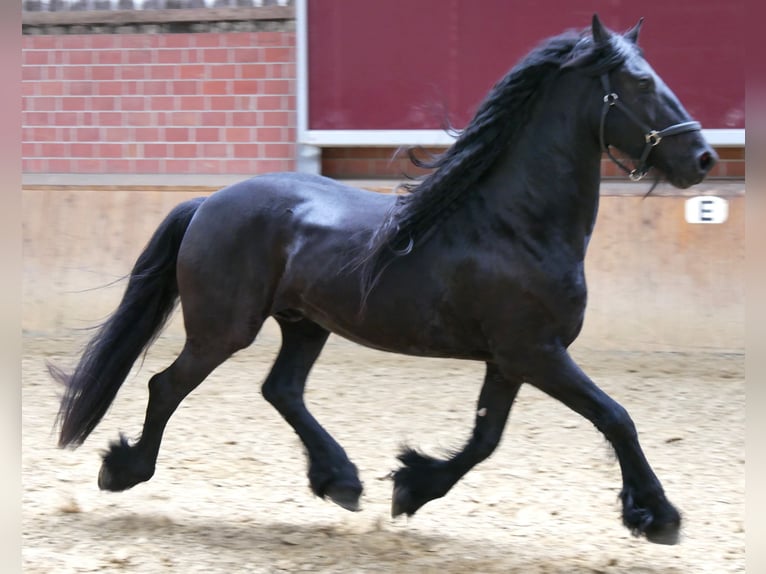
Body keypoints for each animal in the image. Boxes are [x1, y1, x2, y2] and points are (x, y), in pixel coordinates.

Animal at [49, 15, 716, 545]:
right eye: (640, 84)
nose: (703, 159)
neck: (514, 224)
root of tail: (208, 202)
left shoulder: (510, 359)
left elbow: (486, 437)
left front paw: (412, 486)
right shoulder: (536, 353)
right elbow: (615, 417)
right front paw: (658, 517)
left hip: (304, 324)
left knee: (281, 389)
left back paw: (340, 481)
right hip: (223, 330)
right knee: (166, 386)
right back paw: (123, 470)